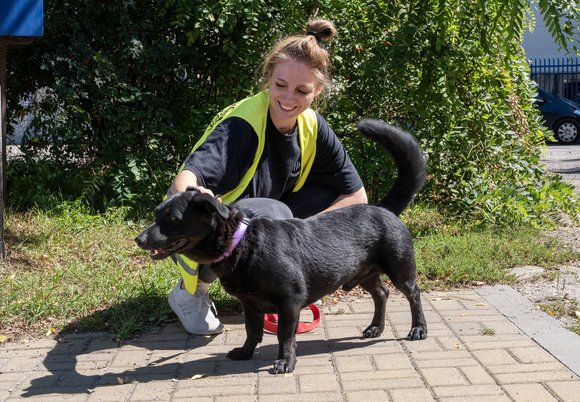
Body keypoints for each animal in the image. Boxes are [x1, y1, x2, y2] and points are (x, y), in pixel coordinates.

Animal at [136, 118, 426, 374]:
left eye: (173, 219)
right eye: (156, 214)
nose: (139, 239)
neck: (244, 245)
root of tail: (382, 208)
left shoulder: (290, 303)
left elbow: (285, 337)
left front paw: (285, 362)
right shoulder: (250, 305)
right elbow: (252, 331)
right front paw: (245, 352)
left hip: (400, 269)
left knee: (413, 294)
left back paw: (418, 328)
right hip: (364, 273)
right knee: (381, 294)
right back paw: (376, 327)